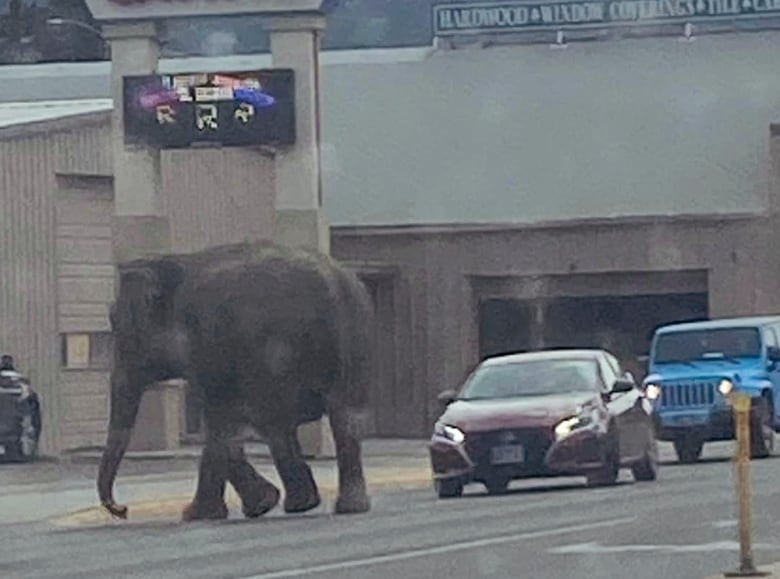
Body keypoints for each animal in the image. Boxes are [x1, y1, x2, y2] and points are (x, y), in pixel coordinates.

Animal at [96, 240, 376, 520]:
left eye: (117, 325)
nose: (122, 510)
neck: (178, 263)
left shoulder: (211, 344)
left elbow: (220, 423)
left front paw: (196, 514)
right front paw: (265, 502)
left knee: (290, 420)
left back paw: (327, 506)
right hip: (352, 341)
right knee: (340, 419)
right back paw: (325, 506)